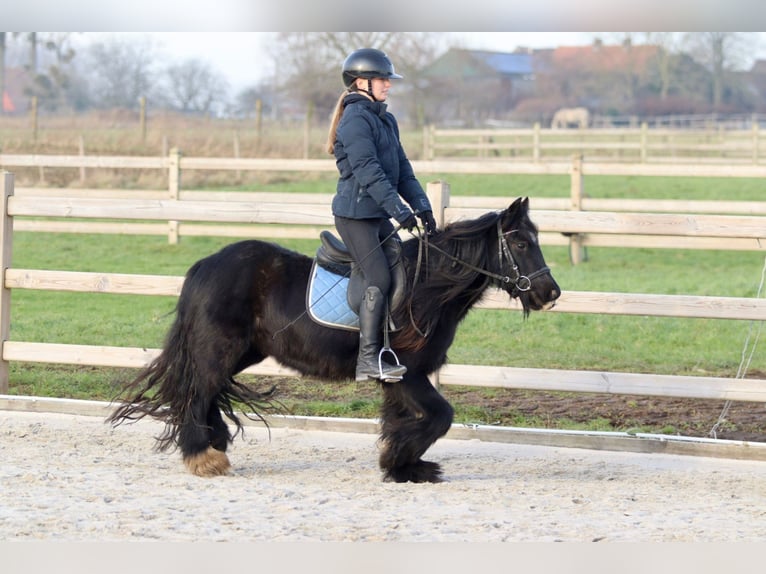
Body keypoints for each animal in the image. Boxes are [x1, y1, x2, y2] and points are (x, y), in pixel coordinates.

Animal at [108, 196, 560, 484]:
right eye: (521, 242)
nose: (550, 293)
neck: (428, 287)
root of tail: (206, 263)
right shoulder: (408, 373)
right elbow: (439, 417)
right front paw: (404, 462)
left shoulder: (398, 380)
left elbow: (400, 421)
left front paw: (401, 467)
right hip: (220, 349)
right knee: (197, 392)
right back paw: (203, 457)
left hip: (242, 352)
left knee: (208, 393)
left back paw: (215, 443)